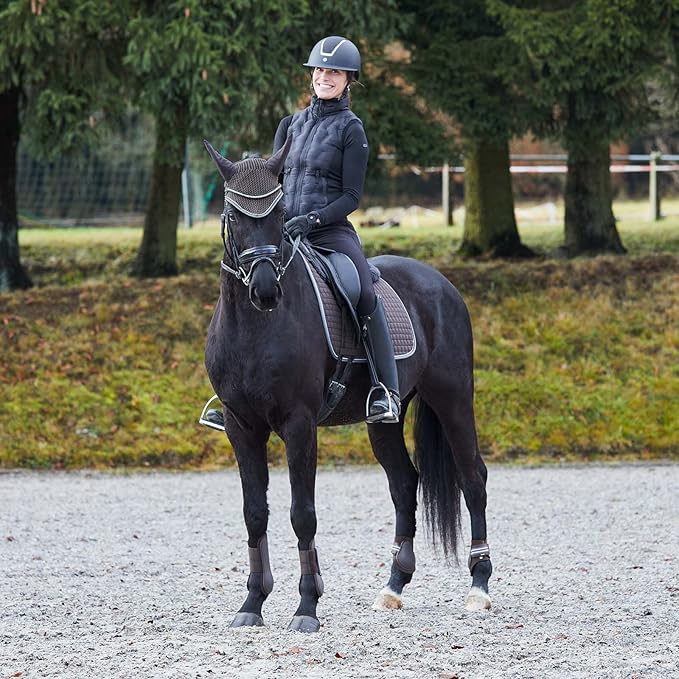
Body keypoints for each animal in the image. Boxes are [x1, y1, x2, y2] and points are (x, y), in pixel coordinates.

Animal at [202, 137, 492, 633]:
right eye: (234, 216)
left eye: (280, 216)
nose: (265, 291)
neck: (254, 327)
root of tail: (440, 282)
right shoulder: (242, 427)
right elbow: (255, 513)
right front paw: (252, 603)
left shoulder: (299, 425)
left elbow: (302, 514)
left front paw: (307, 606)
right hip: (386, 419)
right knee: (405, 484)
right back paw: (394, 586)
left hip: (453, 400)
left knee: (472, 477)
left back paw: (479, 586)